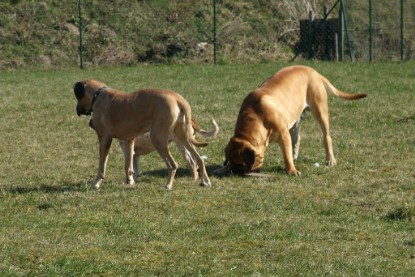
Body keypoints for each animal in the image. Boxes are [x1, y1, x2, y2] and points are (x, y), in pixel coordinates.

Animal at [72, 78, 211, 189]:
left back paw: (168, 185)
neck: (98, 95)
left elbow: (102, 165)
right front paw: (129, 182)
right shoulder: (129, 141)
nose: (77, 110)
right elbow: (128, 166)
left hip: (157, 139)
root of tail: (178, 98)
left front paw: (96, 183)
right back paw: (205, 181)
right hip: (183, 137)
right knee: (198, 159)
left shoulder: (104, 139)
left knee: (173, 164)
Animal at [214, 65, 368, 175]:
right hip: (295, 120)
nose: (234, 171)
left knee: (326, 137)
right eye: (231, 160)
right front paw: (222, 168)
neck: (256, 117)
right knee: (297, 139)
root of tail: (313, 70)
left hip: (320, 111)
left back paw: (330, 160)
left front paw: (292, 171)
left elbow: (286, 155)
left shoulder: (283, 135)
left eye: (241, 164)